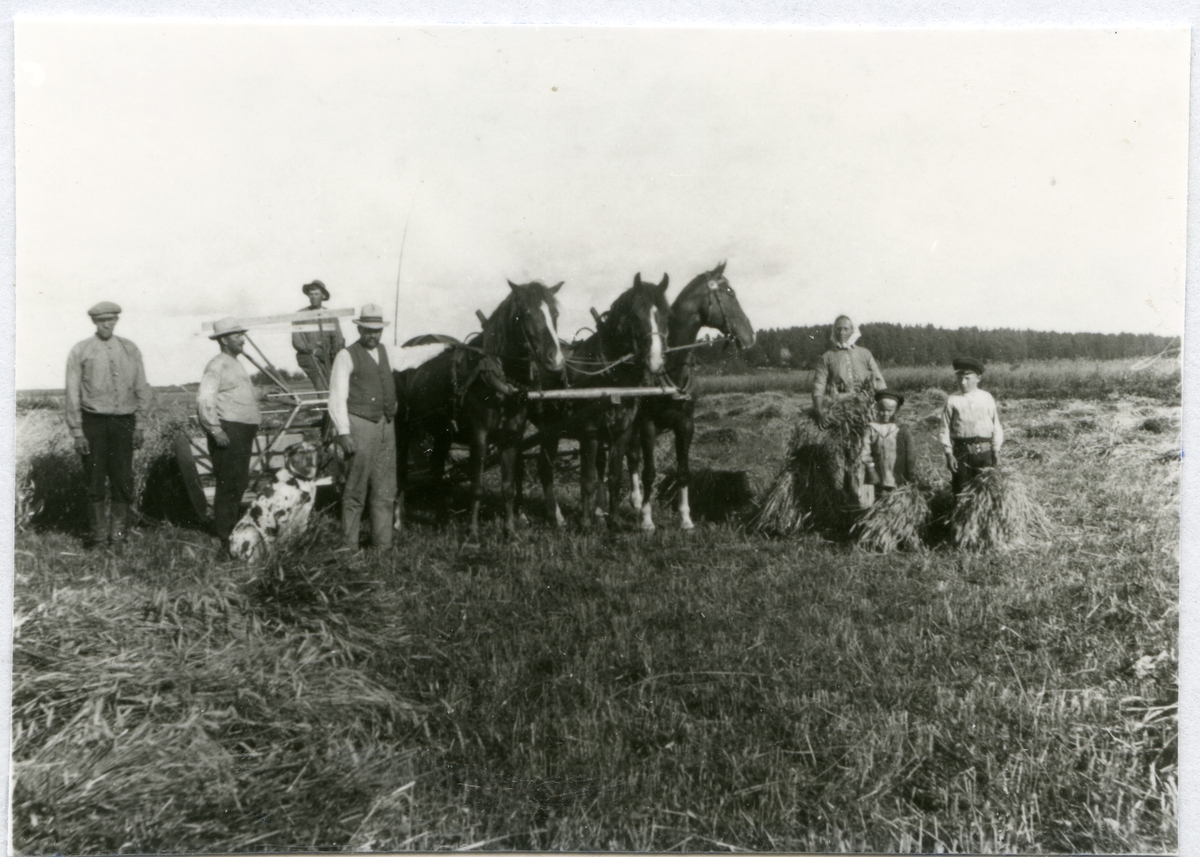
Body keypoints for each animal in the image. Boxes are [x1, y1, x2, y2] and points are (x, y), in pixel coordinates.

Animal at [393, 280, 565, 543]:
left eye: (554, 314)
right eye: (526, 314)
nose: (555, 360)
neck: (494, 377)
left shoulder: (511, 437)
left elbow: (508, 487)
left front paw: (510, 531)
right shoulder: (479, 436)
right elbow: (477, 487)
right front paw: (473, 534)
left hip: (442, 433)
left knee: (436, 470)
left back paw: (441, 519)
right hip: (403, 428)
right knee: (401, 472)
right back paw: (398, 521)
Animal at [525, 272, 671, 530]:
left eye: (665, 315)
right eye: (636, 315)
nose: (655, 361)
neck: (609, 377)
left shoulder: (622, 431)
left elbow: (614, 477)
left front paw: (613, 520)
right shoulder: (589, 432)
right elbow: (588, 479)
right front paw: (585, 522)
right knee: (538, 466)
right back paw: (546, 515)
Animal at [626, 261, 756, 531]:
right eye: (730, 292)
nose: (751, 335)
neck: (670, 368)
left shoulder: (686, 424)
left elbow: (683, 471)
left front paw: (685, 518)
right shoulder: (647, 425)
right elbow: (649, 472)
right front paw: (647, 519)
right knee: (627, 457)